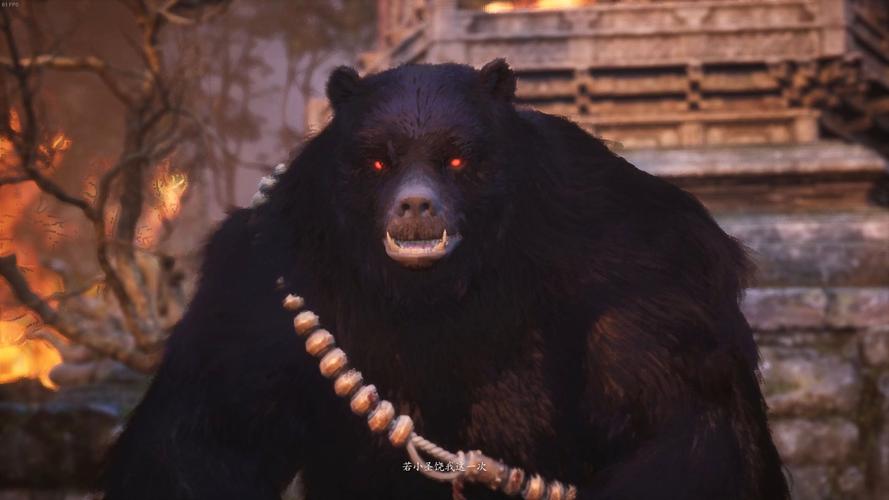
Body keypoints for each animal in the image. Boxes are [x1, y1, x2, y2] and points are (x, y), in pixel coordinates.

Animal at [102, 60, 789, 500]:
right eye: (378, 160)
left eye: (456, 157)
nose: (415, 206)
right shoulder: (261, 289)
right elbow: (201, 440)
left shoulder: (642, 279)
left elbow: (678, 432)